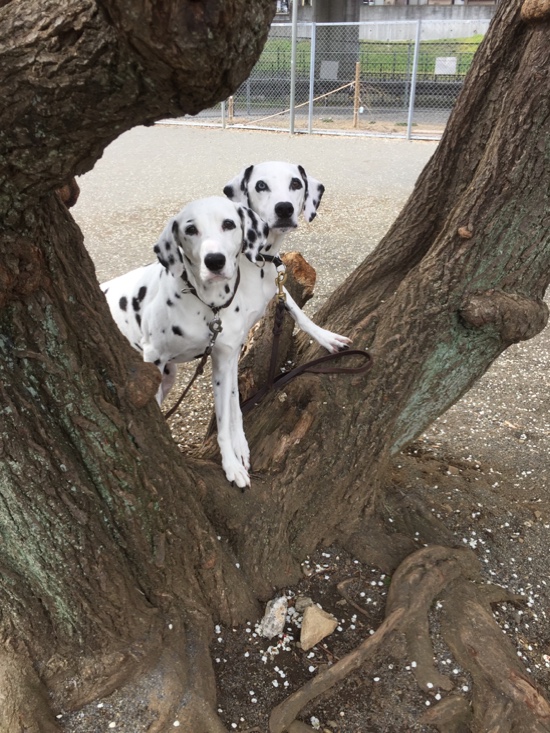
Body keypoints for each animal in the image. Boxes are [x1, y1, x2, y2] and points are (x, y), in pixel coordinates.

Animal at [223, 161, 351, 354]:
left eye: (296, 183)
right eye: (261, 185)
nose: (284, 208)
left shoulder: (278, 285)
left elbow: (298, 313)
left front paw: (326, 337)